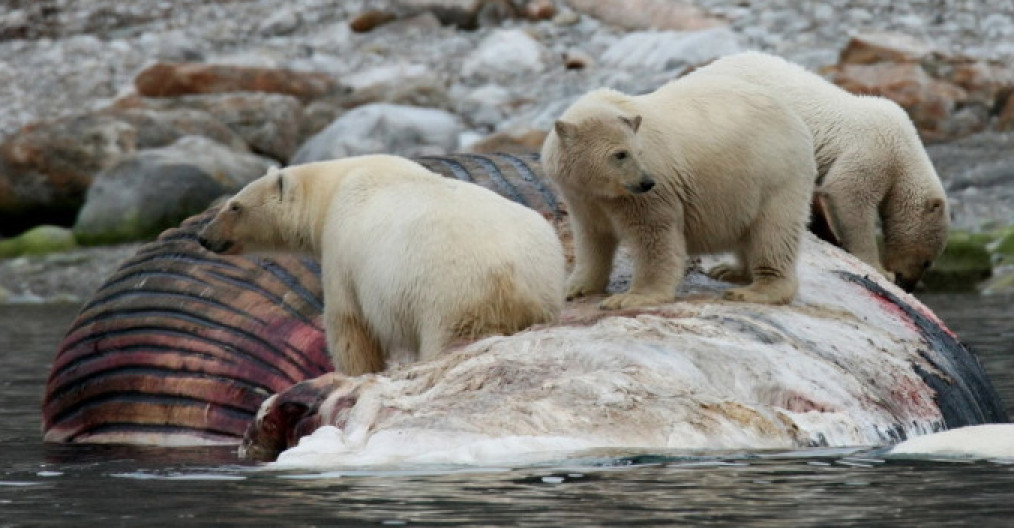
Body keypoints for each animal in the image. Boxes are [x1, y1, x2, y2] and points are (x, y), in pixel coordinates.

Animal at [193, 154, 567, 376]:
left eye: (235, 206)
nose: (204, 237)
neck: (336, 185)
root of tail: (518, 278)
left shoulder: (342, 251)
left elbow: (349, 324)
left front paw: (354, 373)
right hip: (545, 290)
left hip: (454, 295)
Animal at [539, 71, 815, 306]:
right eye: (620, 154)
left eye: (640, 152)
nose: (647, 182)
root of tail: (796, 120)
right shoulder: (583, 197)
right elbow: (592, 237)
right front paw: (574, 288)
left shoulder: (650, 192)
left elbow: (654, 234)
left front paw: (631, 297)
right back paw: (729, 270)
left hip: (775, 174)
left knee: (773, 232)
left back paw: (754, 290)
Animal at [689, 50, 949, 289]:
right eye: (927, 262)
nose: (908, 284)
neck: (907, 151)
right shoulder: (876, 149)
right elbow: (849, 192)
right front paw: (879, 269)